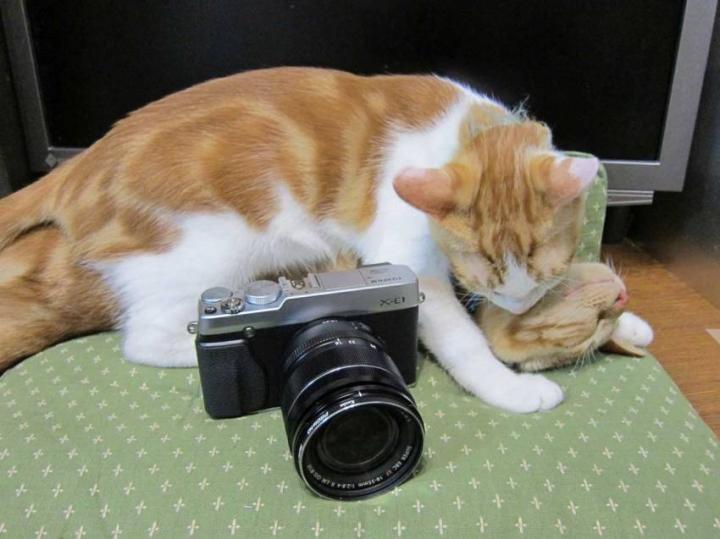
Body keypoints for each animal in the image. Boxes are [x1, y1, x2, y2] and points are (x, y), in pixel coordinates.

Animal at [0, 67, 601, 413]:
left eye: (543, 278)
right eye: (485, 278)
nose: (517, 304)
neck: (465, 131)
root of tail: (81, 163)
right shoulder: (407, 262)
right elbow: (463, 341)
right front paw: (512, 388)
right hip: (207, 253)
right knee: (143, 337)